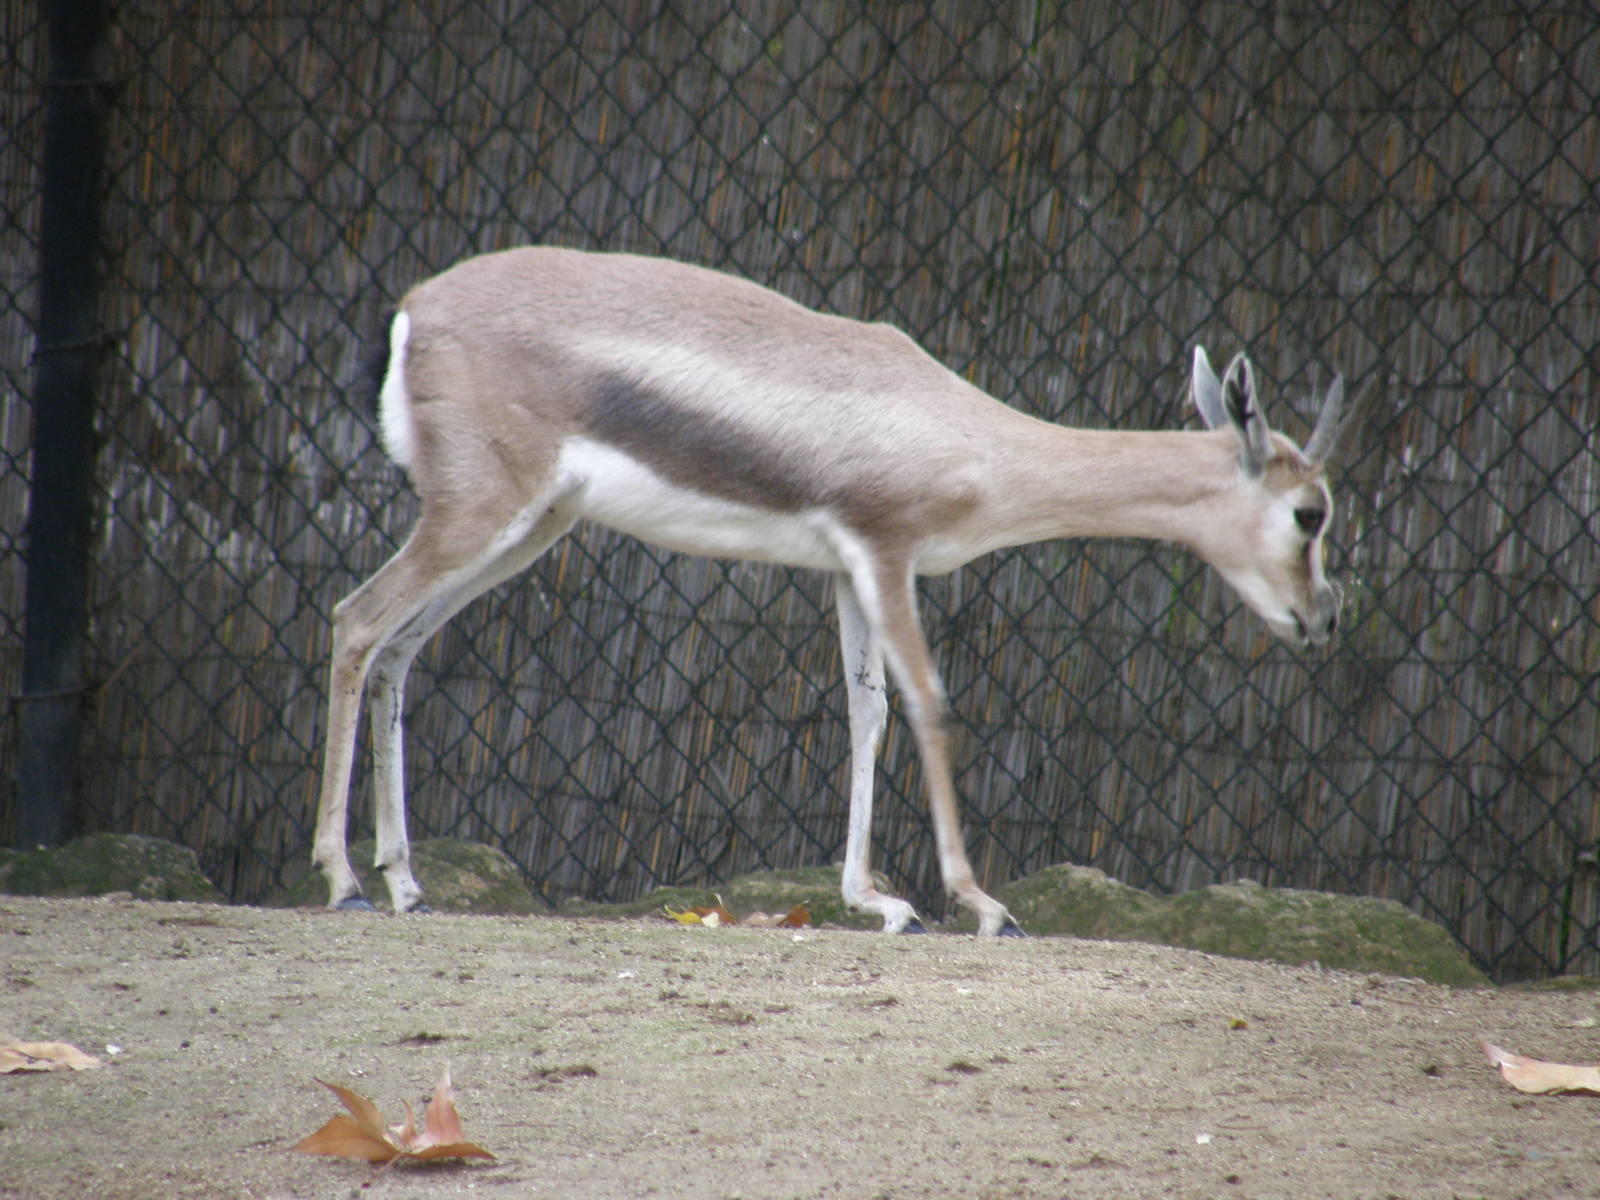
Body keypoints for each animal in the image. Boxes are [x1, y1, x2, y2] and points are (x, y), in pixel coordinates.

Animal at [311, 246, 1347, 936]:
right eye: (1311, 513)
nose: (1322, 619)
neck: (971, 434)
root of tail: (413, 310)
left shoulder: (848, 568)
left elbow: (866, 712)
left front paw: (878, 903)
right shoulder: (885, 550)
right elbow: (926, 701)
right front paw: (979, 904)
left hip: (531, 527)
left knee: (401, 648)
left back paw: (408, 885)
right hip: (481, 515)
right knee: (356, 620)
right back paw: (346, 883)